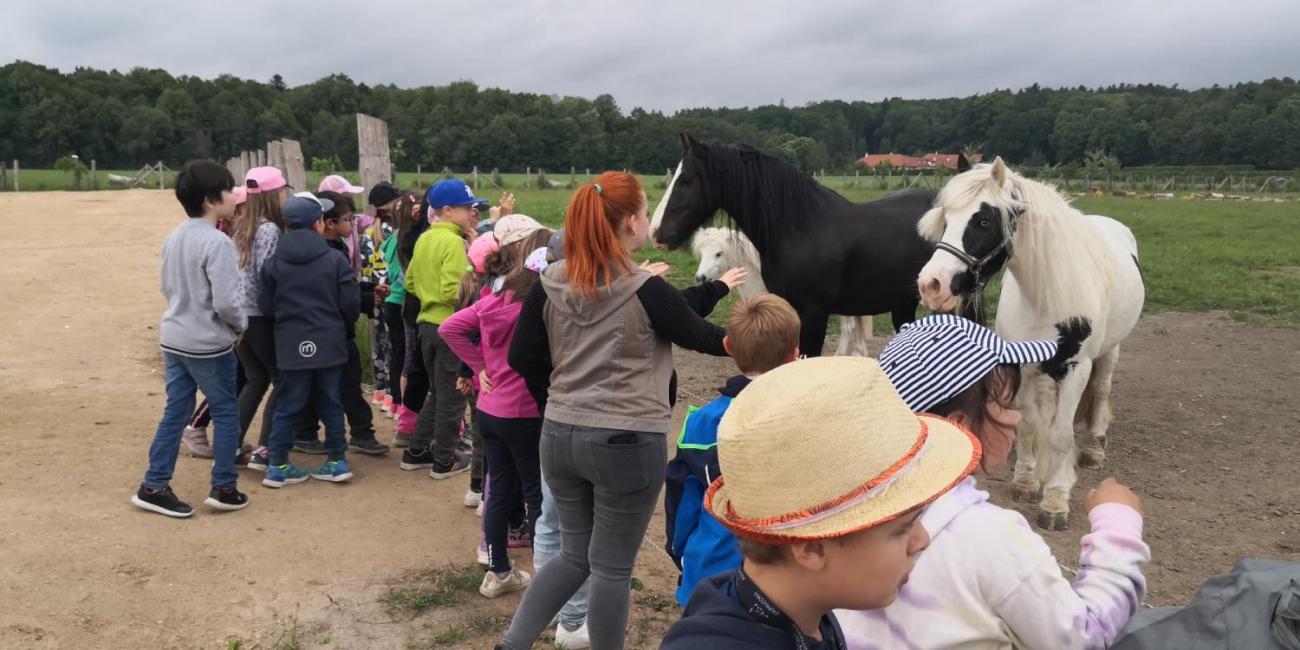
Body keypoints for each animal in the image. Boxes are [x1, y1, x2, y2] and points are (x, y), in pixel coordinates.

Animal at [920, 154, 1144, 530]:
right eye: (946, 218)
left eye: (983, 220)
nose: (931, 285)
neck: (1044, 296)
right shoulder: (1022, 366)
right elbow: (1027, 425)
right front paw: (1027, 481)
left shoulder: (1076, 368)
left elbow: (1062, 435)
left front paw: (1055, 500)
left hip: (1108, 353)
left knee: (1101, 391)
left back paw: (1094, 448)